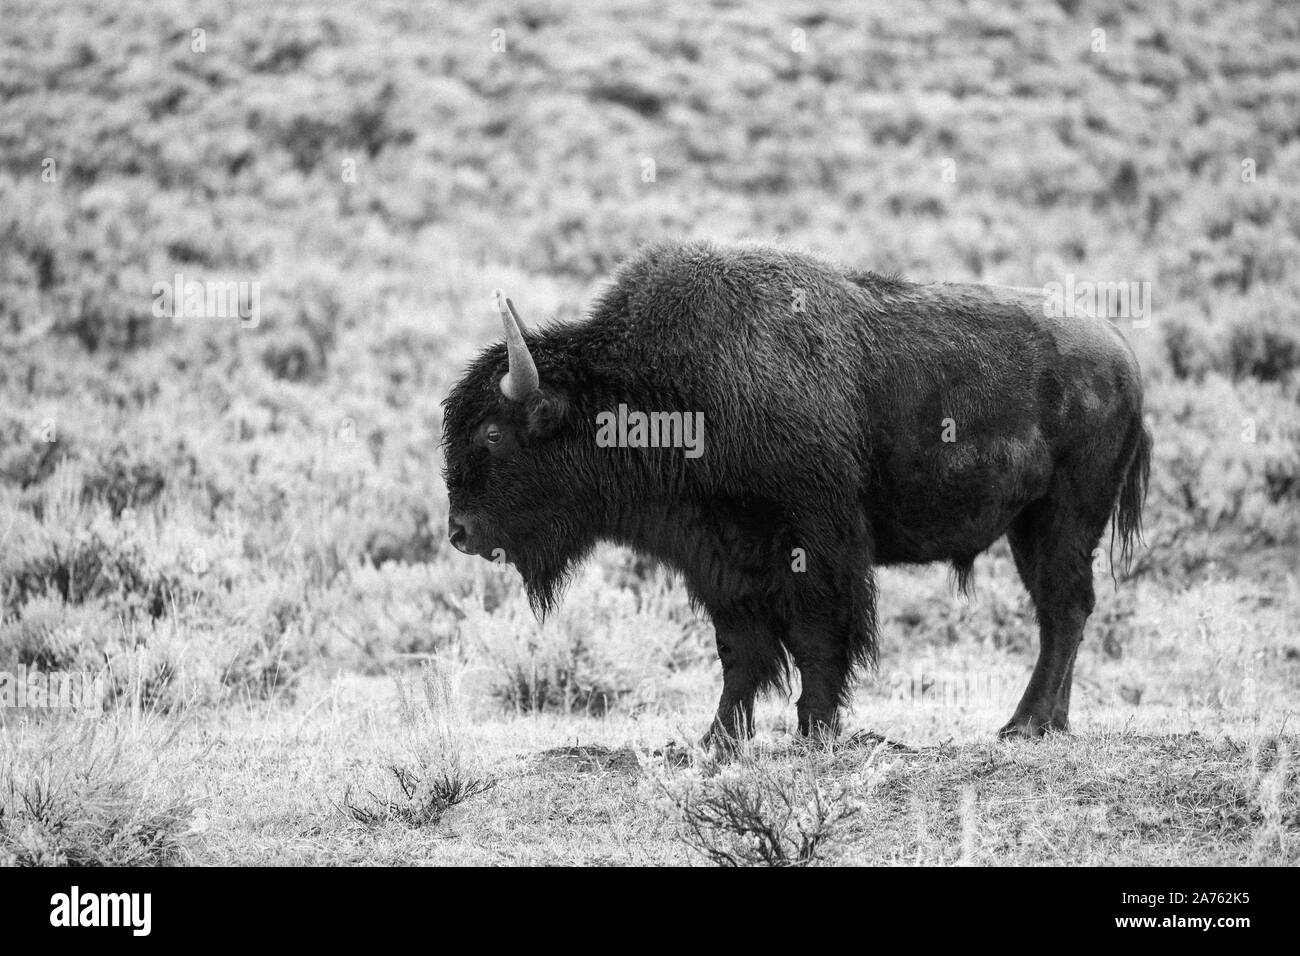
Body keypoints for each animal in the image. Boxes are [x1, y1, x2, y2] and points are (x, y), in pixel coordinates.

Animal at [441, 238, 1154, 738]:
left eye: (494, 434)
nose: (460, 533)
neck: (668, 390)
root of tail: (1122, 353)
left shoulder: (816, 549)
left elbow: (816, 641)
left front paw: (813, 732)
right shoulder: (720, 562)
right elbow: (741, 654)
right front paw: (716, 742)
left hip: (1065, 518)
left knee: (1065, 608)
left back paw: (1026, 726)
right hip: (1030, 527)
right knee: (1060, 612)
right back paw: (1040, 723)